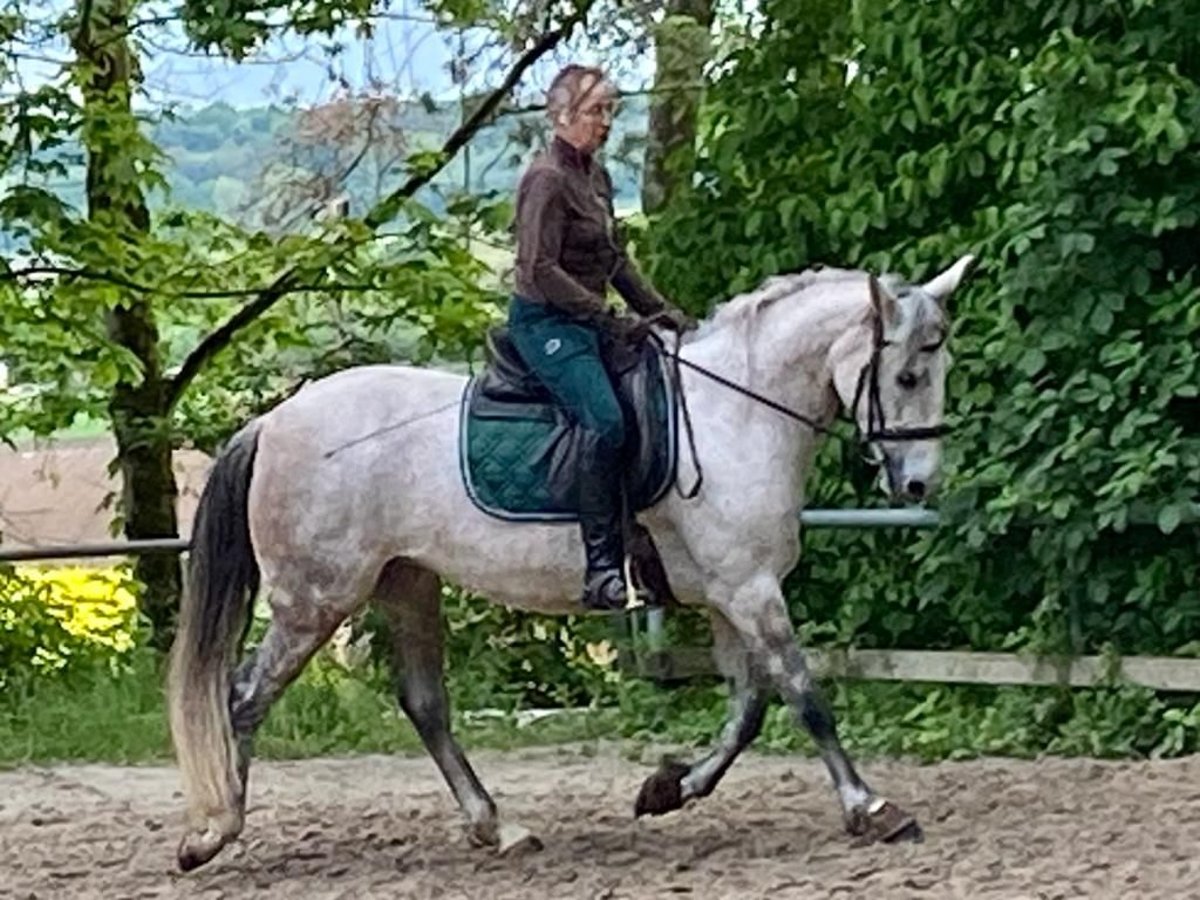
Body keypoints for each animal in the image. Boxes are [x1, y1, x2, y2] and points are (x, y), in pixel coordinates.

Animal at [167, 254, 976, 871]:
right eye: (907, 376)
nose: (919, 485)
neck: (739, 413)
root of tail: (276, 419)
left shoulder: (730, 592)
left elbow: (749, 708)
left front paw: (669, 788)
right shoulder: (749, 589)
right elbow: (806, 695)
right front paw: (873, 806)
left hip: (405, 582)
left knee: (424, 706)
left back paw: (499, 828)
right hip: (316, 599)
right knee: (243, 699)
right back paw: (213, 832)